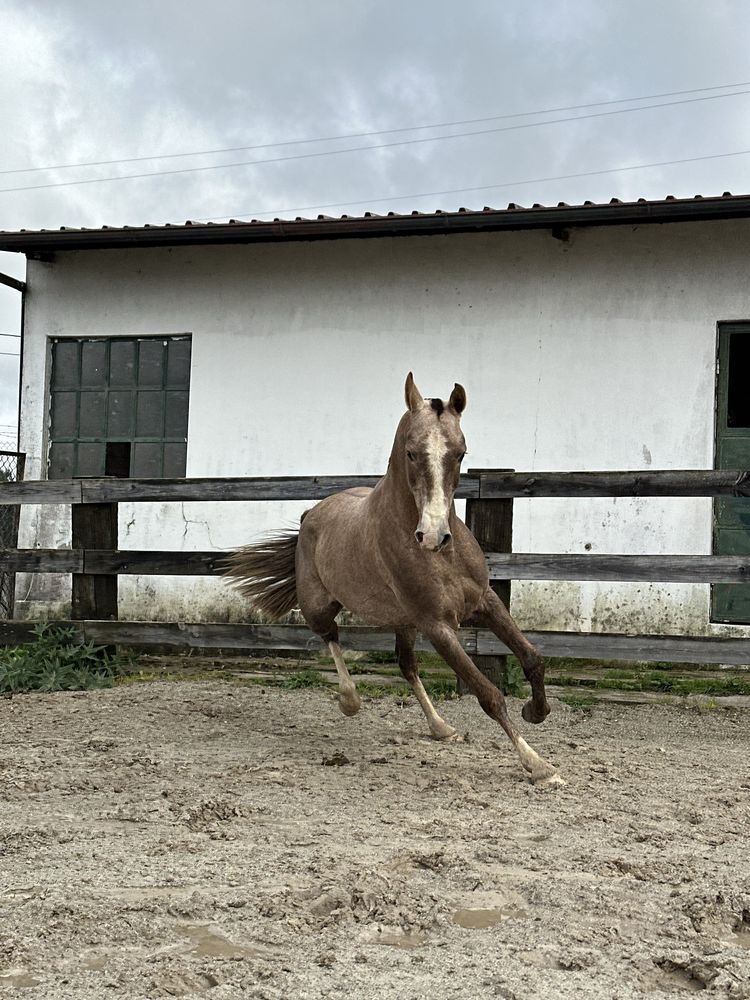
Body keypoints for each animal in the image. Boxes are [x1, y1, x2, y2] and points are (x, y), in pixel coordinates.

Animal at [228, 372, 564, 784]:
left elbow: (533, 658)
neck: (442, 557)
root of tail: (311, 513)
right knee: (330, 636)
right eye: (410, 452)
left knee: (406, 665)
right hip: (319, 606)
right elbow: (489, 694)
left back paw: (441, 728)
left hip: (403, 621)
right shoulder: (438, 626)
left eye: (461, 452)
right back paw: (350, 700)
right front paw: (539, 765)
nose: (433, 536)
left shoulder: (485, 601)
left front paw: (536, 712)